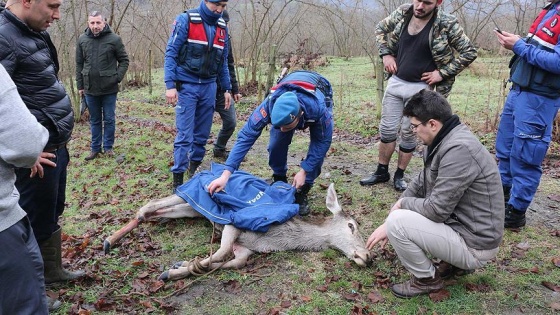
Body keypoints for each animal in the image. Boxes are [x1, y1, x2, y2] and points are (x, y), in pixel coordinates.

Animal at [104, 184, 372, 282]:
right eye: (352, 225)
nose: (368, 257)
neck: (273, 238)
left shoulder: (245, 248)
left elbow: (234, 262)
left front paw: (183, 267)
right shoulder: (235, 221)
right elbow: (221, 252)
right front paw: (173, 271)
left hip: (193, 208)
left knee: (158, 211)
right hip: (192, 195)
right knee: (148, 205)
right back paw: (109, 239)